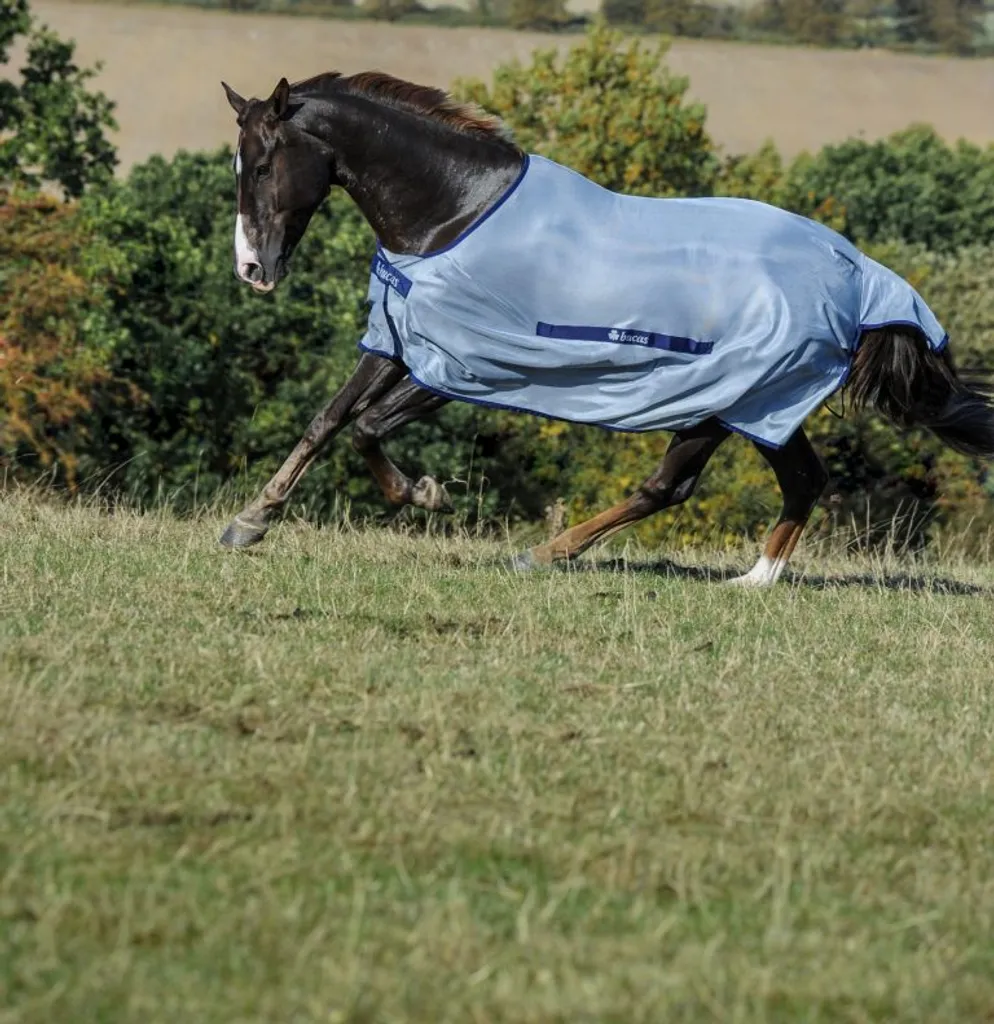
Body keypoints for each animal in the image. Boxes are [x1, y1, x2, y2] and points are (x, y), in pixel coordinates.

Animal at [217, 72, 994, 587]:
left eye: (264, 164)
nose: (253, 268)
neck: (454, 213)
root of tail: (859, 274)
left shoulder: (467, 366)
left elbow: (368, 428)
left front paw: (426, 495)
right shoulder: (401, 342)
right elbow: (328, 421)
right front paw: (250, 522)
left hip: (719, 402)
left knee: (669, 487)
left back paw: (544, 554)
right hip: (759, 406)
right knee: (801, 479)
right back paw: (753, 580)